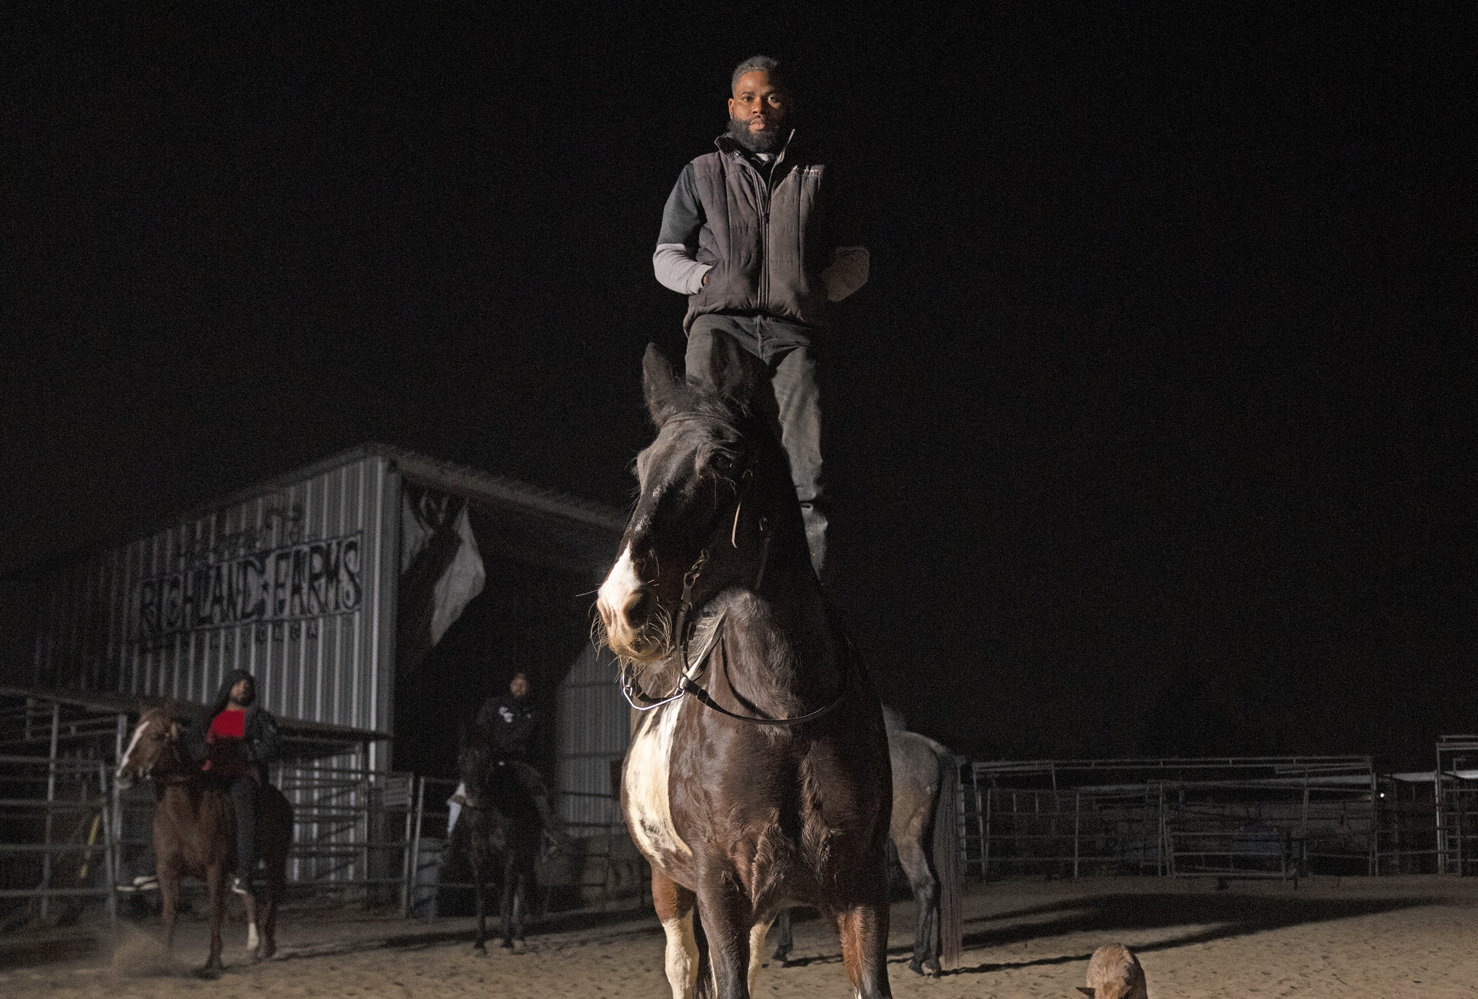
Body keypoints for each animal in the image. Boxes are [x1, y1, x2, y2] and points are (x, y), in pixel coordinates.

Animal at [114, 703, 291, 969]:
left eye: (154, 736)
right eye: (133, 734)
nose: (122, 776)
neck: (188, 811)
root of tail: (281, 798)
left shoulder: (214, 868)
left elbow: (215, 911)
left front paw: (213, 960)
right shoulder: (168, 870)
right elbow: (170, 912)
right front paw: (165, 960)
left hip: (276, 857)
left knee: (274, 893)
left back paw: (267, 945)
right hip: (240, 867)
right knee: (249, 894)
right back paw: (252, 947)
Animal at [452, 732, 546, 951]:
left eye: (487, 759)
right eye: (461, 758)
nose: (473, 798)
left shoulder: (511, 856)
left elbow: (509, 898)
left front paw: (507, 942)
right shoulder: (478, 859)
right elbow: (481, 901)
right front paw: (480, 943)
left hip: (525, 858)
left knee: (520, 890)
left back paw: (518, 937)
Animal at [594, 339, 892, 993]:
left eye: (725, 460)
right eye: (641, 467)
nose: (620, 605)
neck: (785, 716)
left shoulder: (861, 889)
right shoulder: (718, 891)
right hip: (669, 885)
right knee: (682, 964)